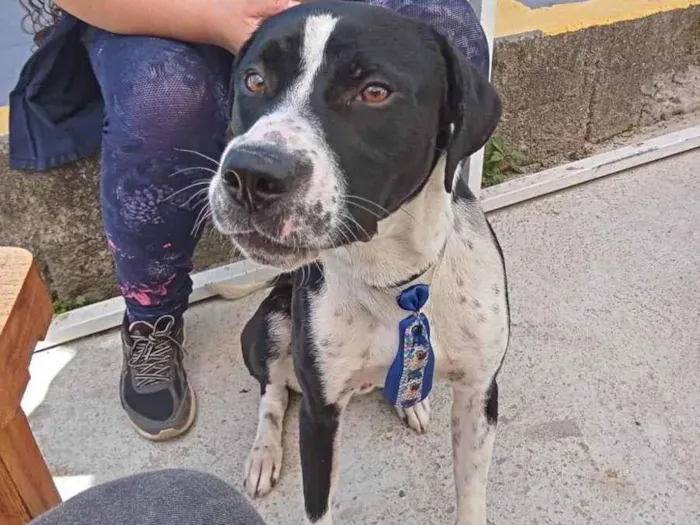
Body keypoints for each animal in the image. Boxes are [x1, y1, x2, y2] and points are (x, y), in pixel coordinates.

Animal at [208, 2, 508, 520]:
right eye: (254, 80)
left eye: (374, 91)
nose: (249, 174)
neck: (395, 279)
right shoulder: (319, 414)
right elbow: (318, 504)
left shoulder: (479, 392)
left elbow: (471, 495)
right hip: (270, 327)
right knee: (271, 393)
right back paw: (264, 453)